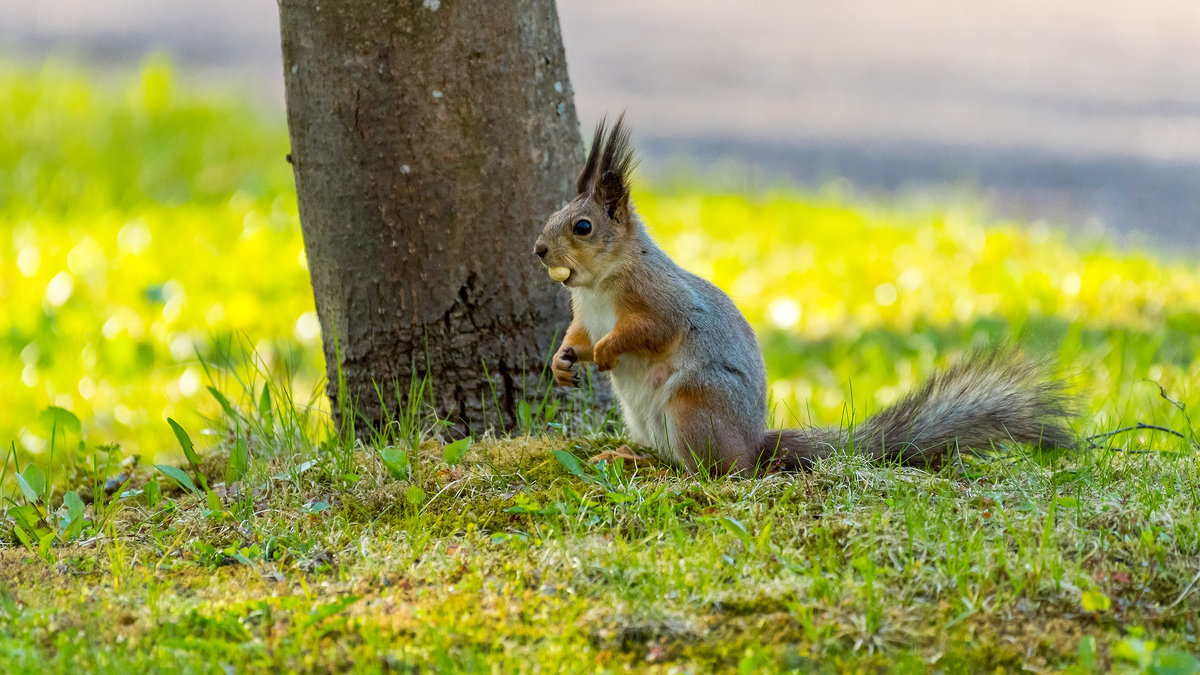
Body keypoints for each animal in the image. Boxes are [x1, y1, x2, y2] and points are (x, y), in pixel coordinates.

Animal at [535, 115, 1080, 473]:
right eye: (554, 213)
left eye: (582, 227)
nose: (539, 250)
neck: (600, 284)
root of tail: (753, 445)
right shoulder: (584, 312)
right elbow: (577, 334)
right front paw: (564, 360)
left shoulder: (657, 297)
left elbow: (650, 329)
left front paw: (607, 350)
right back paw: (628, 455)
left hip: (694, 404)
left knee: (713, 472)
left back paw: (659, 470)